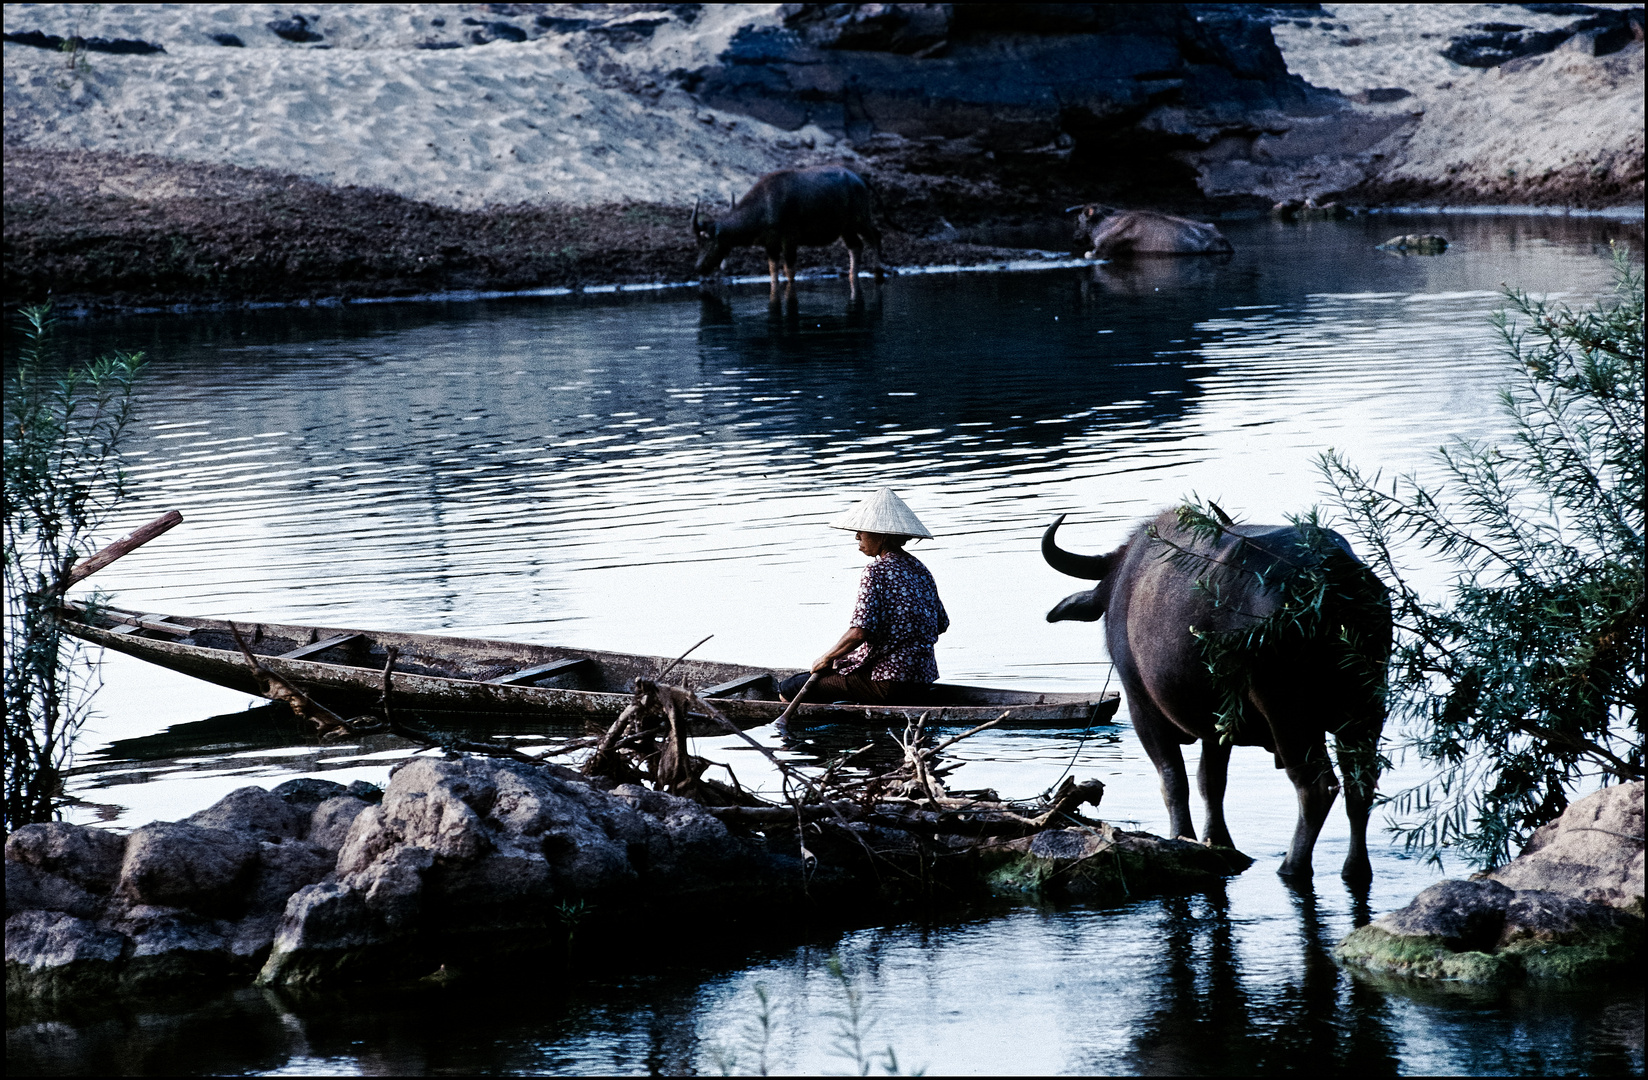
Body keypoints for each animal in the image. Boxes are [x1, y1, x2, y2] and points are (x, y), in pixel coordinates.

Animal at [688, 164, 883, 286]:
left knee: (875, 236)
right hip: (846, 228)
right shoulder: (770, 245)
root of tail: (860, 179)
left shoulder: (789, 240)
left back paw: (878, 271)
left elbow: (789, 271)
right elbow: (773, 271)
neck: (765, 206)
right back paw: (853, 275)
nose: (698, 267)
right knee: (856, 246)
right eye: (697, 242)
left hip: (860, 220)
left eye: (705, 241)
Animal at [1041, 511, 1390, 883]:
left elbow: (1173, 780)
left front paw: (1183, 836)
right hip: (1365, 708)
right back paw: (1355, 868)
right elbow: (1210, 781)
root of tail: (1331, 581)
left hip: (1288, 713)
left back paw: (1292, 866)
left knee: (1315, 787)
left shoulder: (1143, 710)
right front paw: (1217, 840)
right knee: (1360, 785)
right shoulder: (1217, 724)